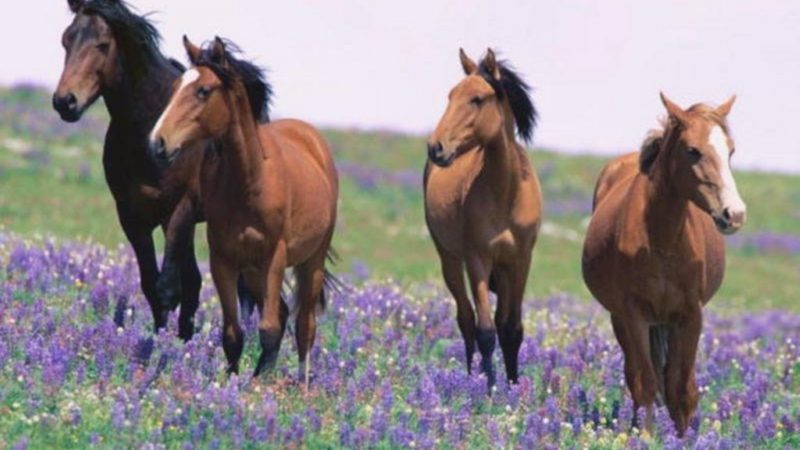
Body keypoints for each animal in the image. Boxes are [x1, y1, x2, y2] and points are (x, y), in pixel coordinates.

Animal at [51, 0, 206, 340]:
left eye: (103, 44)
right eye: (66, 40)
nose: (65, 102)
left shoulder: (180, 209)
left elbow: (167, 288)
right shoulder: (133, 216)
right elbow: (152, 286)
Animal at [149, 35, 338, 384]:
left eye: (203, 90)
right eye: (176, 87)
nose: (158, 142)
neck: (251, 183)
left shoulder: (274, 257)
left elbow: (269, 328)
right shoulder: (224, 260)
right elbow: (233, 333)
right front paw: (233, 382)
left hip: (311, 261)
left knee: (304, 325)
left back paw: (302, 386)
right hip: (252, 271)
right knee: (282, 313)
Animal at [424, 48, 544, 386]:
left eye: (477, 98)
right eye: (451, 95)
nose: (436, 147)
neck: (506, 194)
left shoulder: (520, 261)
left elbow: (512, 330)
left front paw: (514, 385)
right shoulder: (478, 258)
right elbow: (486, 331)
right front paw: (487, 389)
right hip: (450, 259)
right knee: (466, 320)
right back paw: (470, 375)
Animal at [580, 93, 744, 434]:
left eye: (730, 150)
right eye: (693, 150)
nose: (733, 214)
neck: (662, 240)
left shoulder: (690, 314)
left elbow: (682, 389)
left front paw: (682, 438)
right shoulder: (633, 313)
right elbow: (646, 383)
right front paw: (646, 436)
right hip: (624, 319)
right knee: (639, 375)